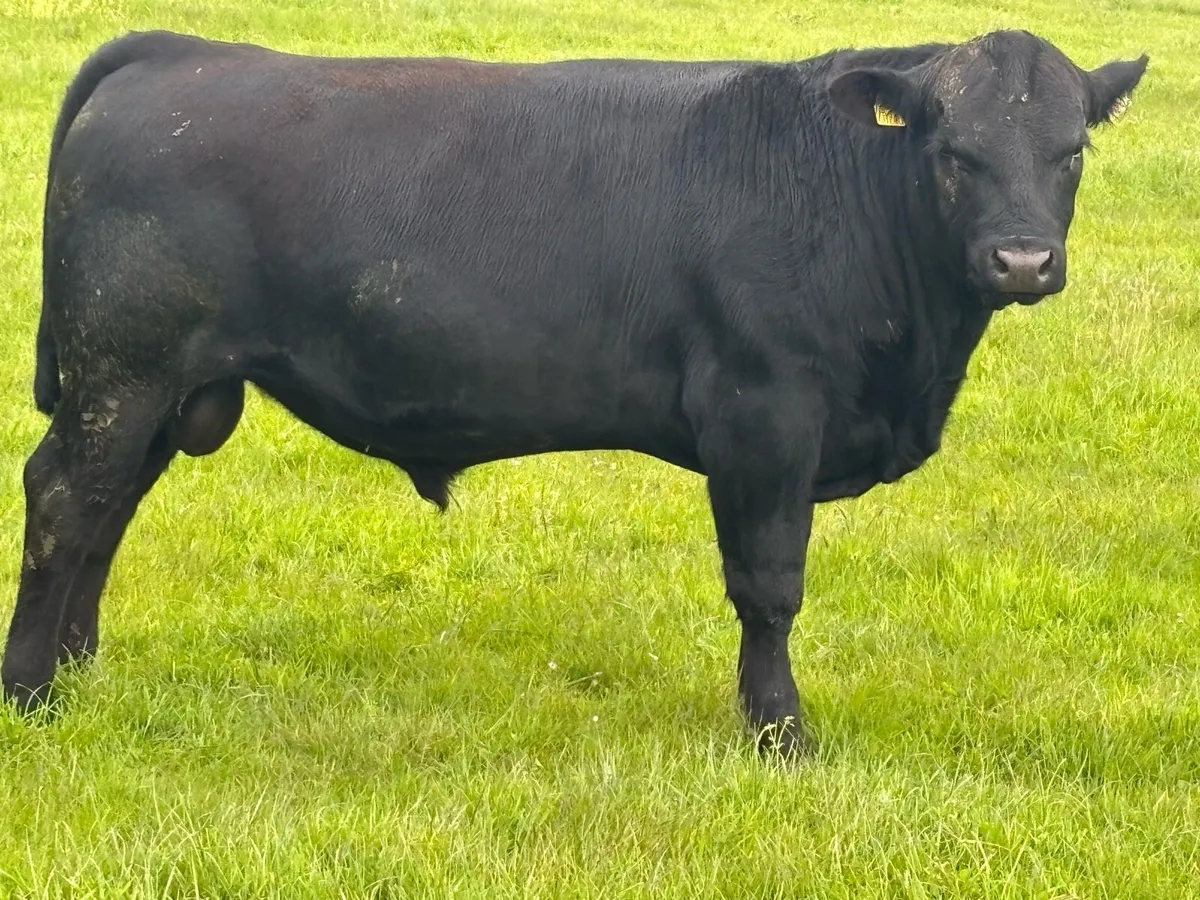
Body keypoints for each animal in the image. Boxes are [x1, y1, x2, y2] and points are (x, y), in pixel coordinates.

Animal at [3, 28, 1145, 756]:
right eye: (953, 152)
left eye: (1071, 152)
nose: (1021, 260)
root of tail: (180, 49)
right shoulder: (766, 412)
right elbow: (770, 585)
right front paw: (781, 734)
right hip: (122, 369)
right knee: (64, 501)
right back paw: (31, 693)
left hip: (163, 387)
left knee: (107, 510)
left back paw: (80, 669)